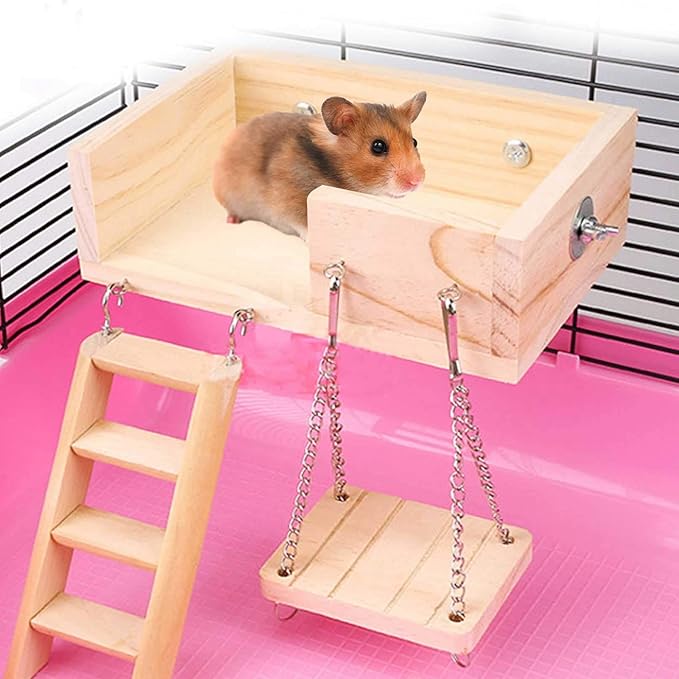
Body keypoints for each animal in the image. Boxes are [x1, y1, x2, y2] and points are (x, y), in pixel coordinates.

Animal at [212, 92, 427, 240]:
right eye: (378, 146)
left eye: (414, 141)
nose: (417, 182)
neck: (332, 172)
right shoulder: (289, 200)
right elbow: (303, 222)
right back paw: (231, 221)